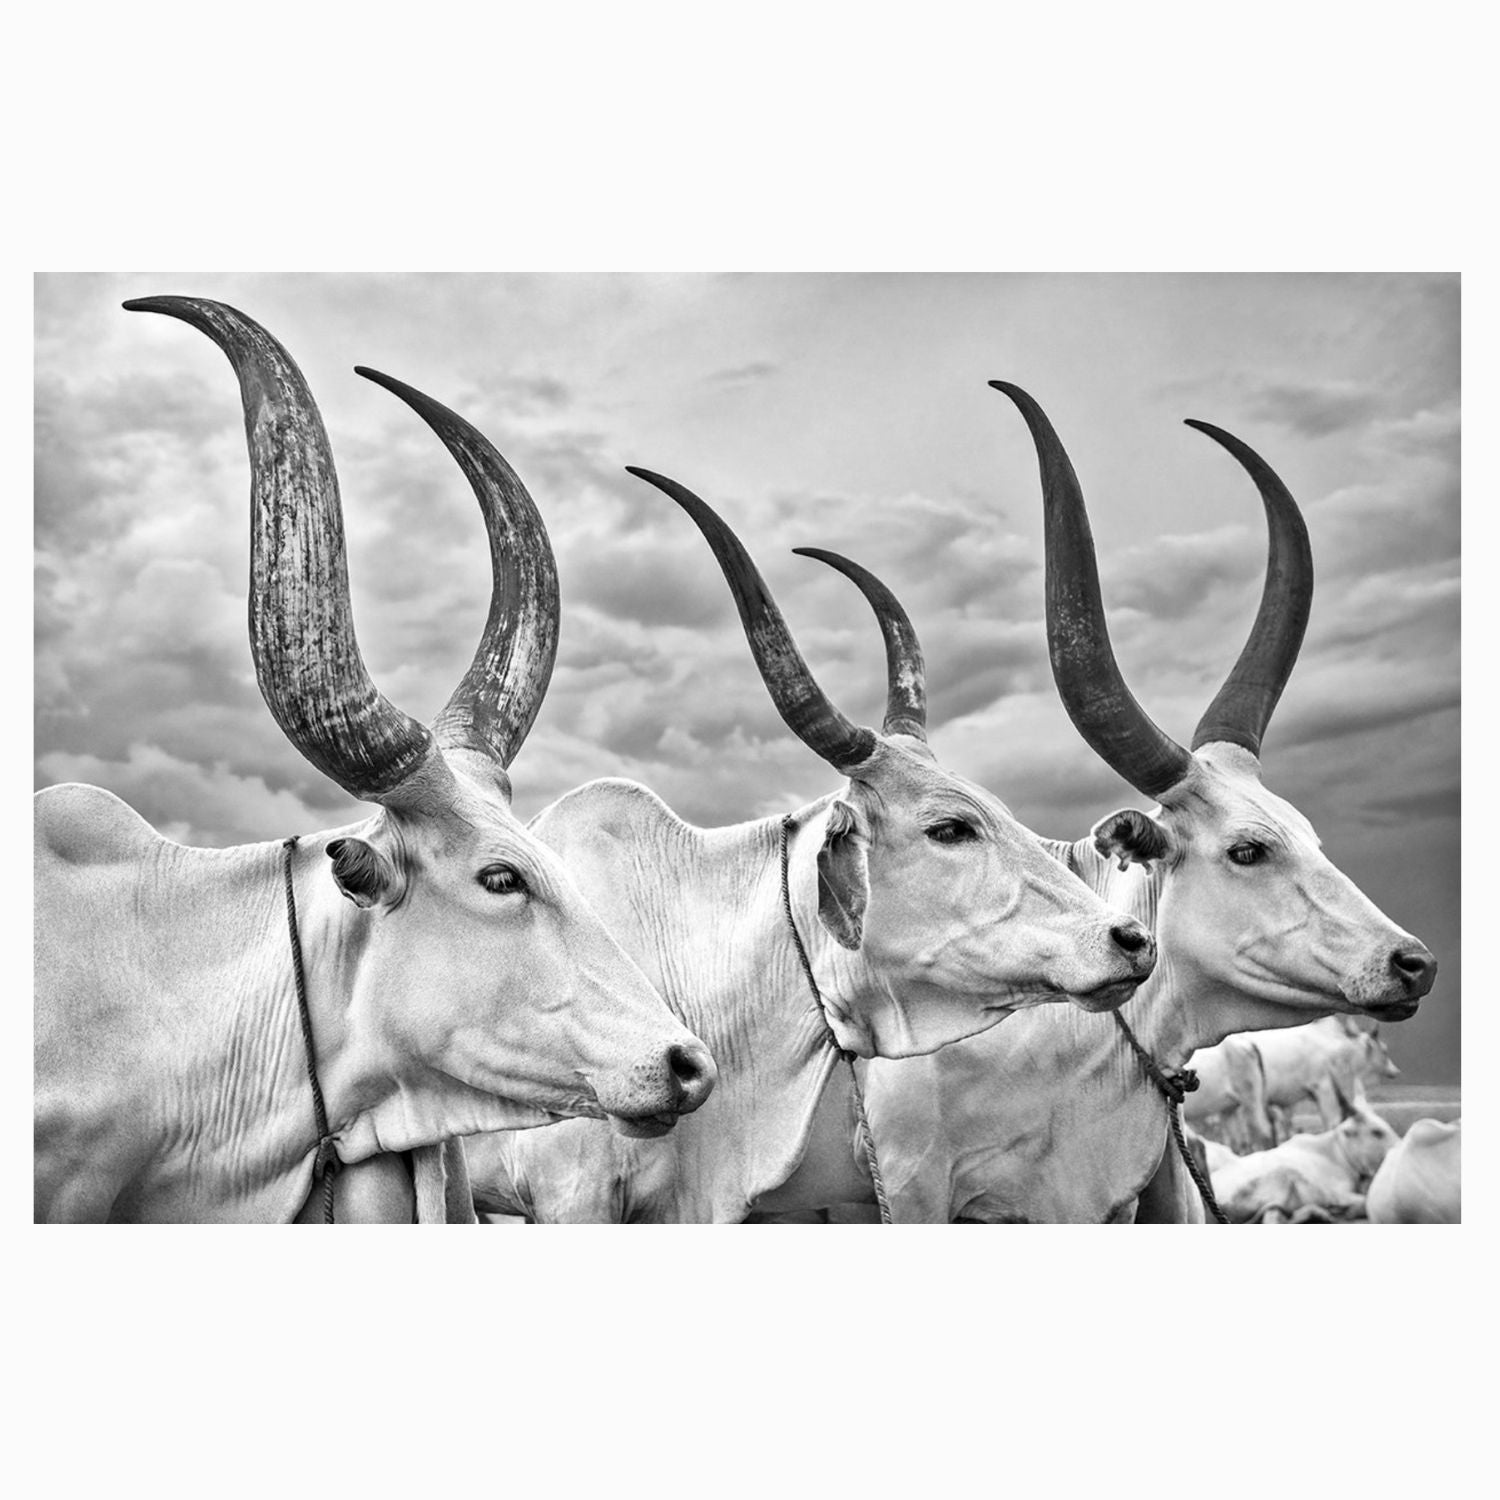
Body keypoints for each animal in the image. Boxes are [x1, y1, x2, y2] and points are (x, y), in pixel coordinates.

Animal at [1205, 1083, 1400, 1223]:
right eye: (1377, 1132)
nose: (1398, 1147)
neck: (1335, 1153)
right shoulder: (1338, 1193)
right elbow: (1363, 1201)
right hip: (1281, 1178)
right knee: (1272, 1218)